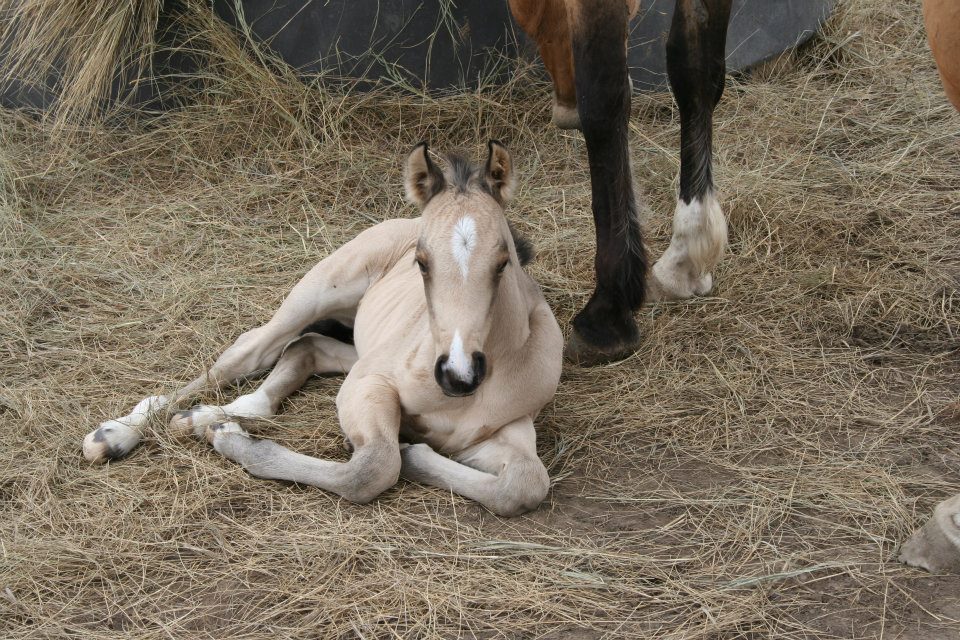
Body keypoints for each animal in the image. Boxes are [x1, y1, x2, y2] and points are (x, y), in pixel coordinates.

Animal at [84, 142, 564, 516]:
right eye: (421, 261)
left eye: (503, 261)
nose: (458, 375)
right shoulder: (368, 385)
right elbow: (372, 469)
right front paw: (231, 442)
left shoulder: (497, 430)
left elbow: (525, 484)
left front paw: (413, 451)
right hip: (316, 293)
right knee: (248, 353)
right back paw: (118, 434)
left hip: (357, 345)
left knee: (306, 348)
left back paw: (205, 417)